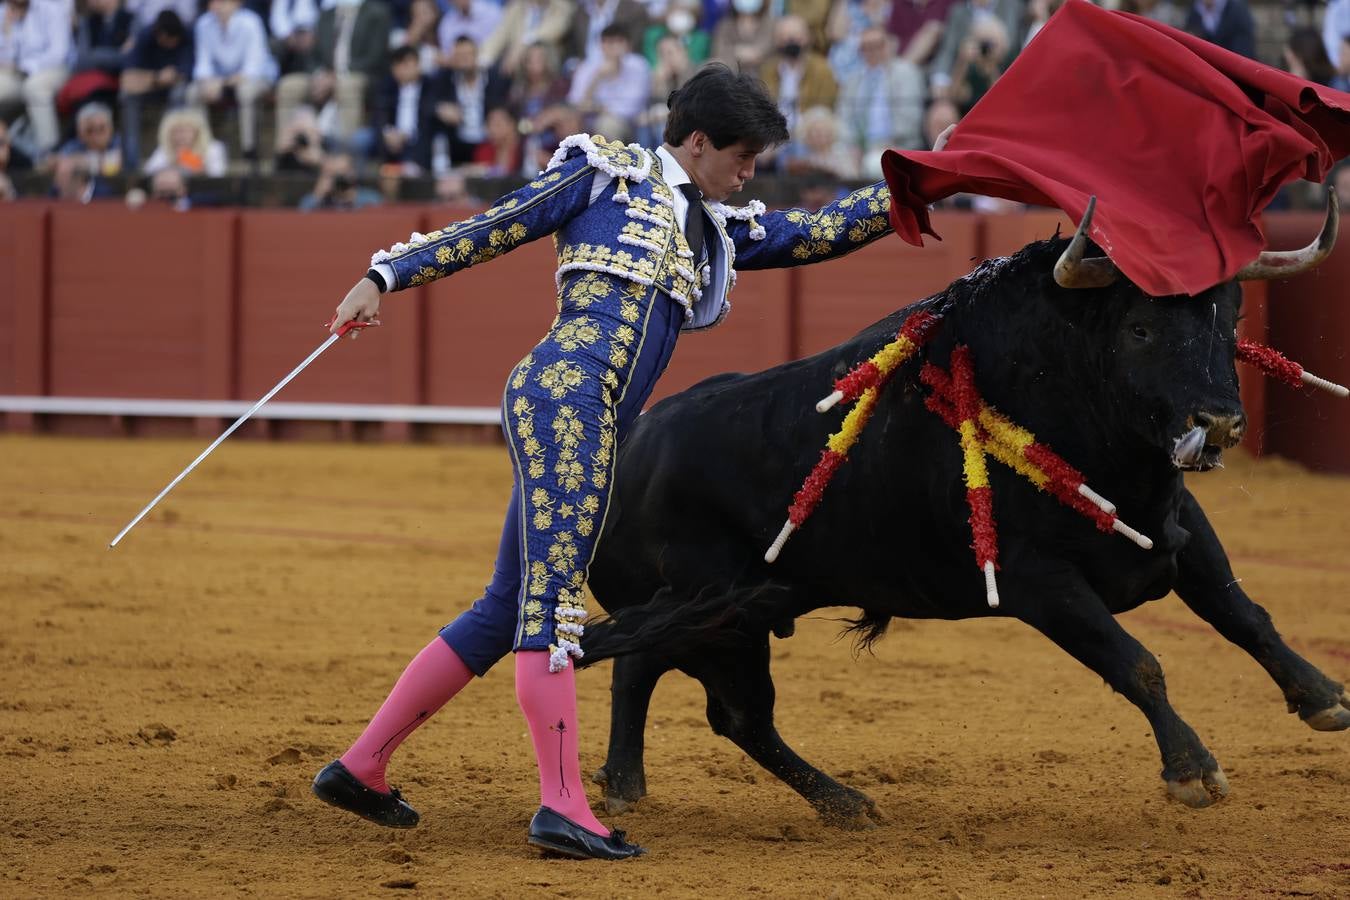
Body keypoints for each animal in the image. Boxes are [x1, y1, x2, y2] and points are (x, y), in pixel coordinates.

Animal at [580, 201, 1350, 825]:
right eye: (1138, 329)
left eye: (1233, 318)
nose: (1218, 422)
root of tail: (629, 448)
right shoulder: (1040, 581)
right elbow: (1137, 662)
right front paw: (1191, 769)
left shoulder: (1178, 531)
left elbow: (1244, 615)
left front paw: (1323, 696)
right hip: (723, 622)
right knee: (738, 715)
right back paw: (844, 802)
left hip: (716, 612)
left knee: (641, 665)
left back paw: (627, 784)